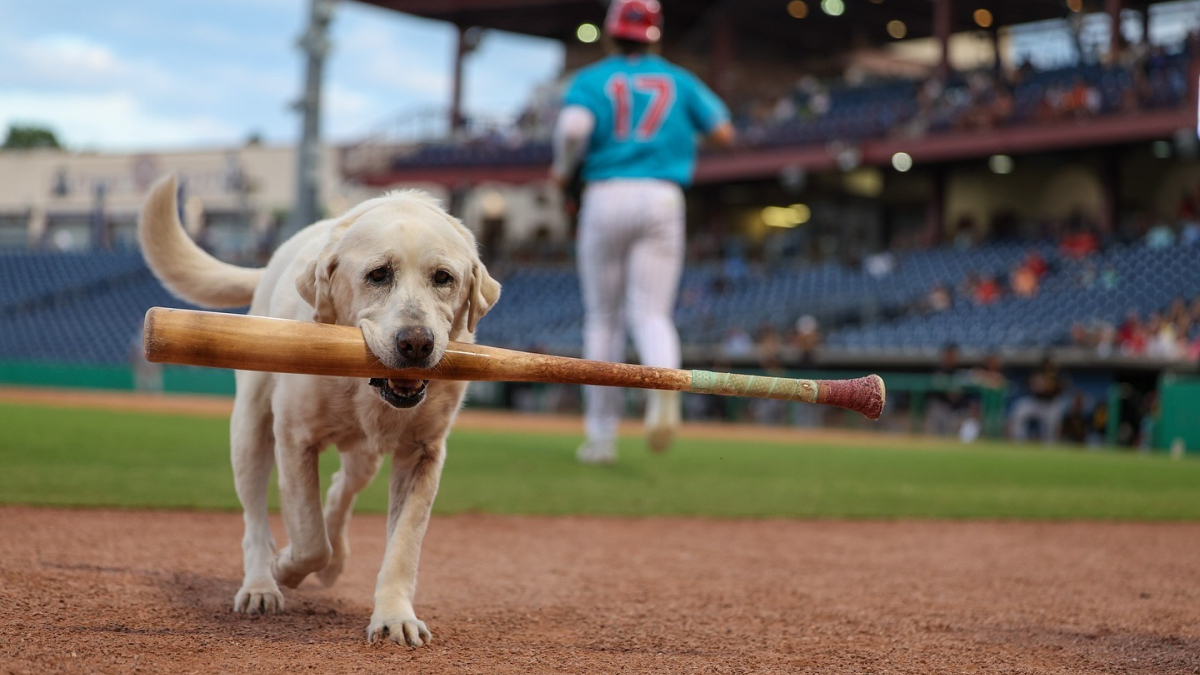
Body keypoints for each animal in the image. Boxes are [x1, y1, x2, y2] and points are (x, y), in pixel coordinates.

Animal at [138, 176, 499, 643]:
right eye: (378, 274)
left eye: (443, 278)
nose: (417, 343)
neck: (359, 384)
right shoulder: (294, 439)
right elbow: (309, 537)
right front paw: (285, 568)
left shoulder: (424, 452)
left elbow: (403, 546)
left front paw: (395, 617)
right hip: (250, 431)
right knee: (256, 520)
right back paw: (261, 584)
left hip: (365, 454)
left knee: (341, 490)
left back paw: (336, 560)